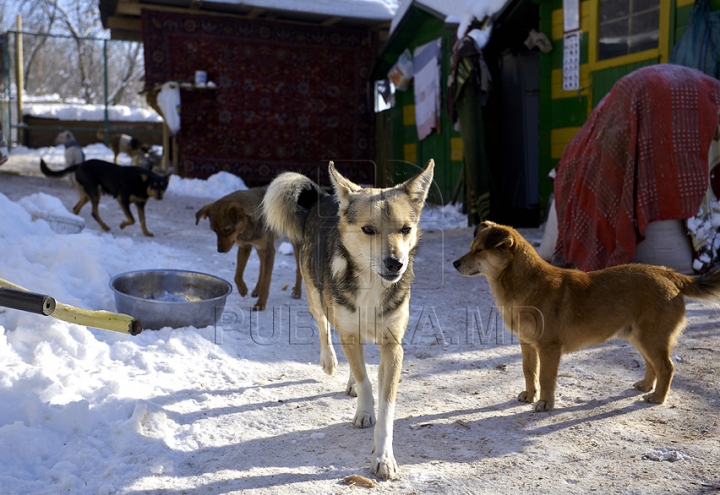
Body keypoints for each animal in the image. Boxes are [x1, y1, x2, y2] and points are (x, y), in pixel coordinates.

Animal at [262, 161, 436, 478]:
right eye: (368, 230)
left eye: (406, 229)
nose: (395, 264)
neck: (372, 285)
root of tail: (325, 197)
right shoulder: (349, 332)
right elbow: (367, 382)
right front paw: (365, 412)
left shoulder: (393, 346)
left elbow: (386, 404)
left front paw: (383, 457)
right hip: (316, 298)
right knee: (324, 328)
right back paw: (330, 361)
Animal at [452, 223, 720, 412]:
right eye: (471, 247)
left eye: (479, 250)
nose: (454, 263)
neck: (526, 285)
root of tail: (669, 274)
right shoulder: (527, 344)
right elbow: (529, 372)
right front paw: (529, 395)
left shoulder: (548, 348)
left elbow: (546, 378)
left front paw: (545, 403)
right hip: (639, 337)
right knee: (652, 365)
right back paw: (646, 386)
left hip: (651, 338)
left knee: (666, 367)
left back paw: (657, 397)